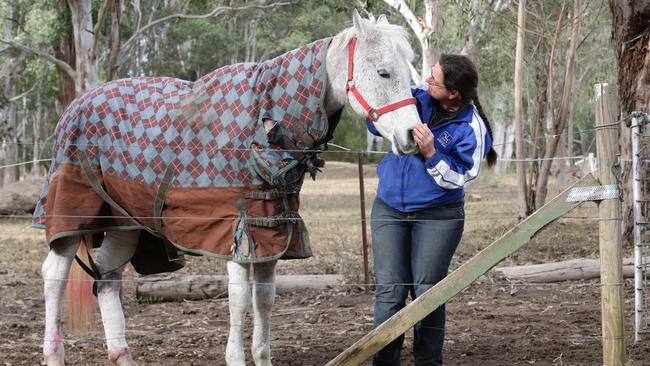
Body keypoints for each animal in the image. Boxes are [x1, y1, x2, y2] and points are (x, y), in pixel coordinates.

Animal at [40, 11, 418, 366]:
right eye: (383, 72)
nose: (413, 136)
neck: (264, 122)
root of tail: (75, 106)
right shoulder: (237, 233)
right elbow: (238, 300)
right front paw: (235, 357)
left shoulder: (272, 234)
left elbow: (264, 299)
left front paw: (262, 357)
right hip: (72, 214)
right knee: (55, 275)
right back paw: (53, 355)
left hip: (125, 222)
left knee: (107, 276)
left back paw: (122, 355)